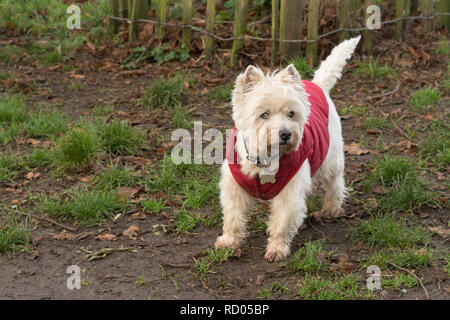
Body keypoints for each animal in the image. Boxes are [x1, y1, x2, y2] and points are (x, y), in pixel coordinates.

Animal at [215, 36, 362, 262]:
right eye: (264, 114)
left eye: (291, 113)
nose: (285, 134)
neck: (265, 160)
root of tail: (318, 85)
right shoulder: (234, 186)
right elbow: (233, 216)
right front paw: (229, 241)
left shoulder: (290, 192)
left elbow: (282, 221)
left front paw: (277, 248)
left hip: (330, 156)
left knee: (335, 183)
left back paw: (331, 208)